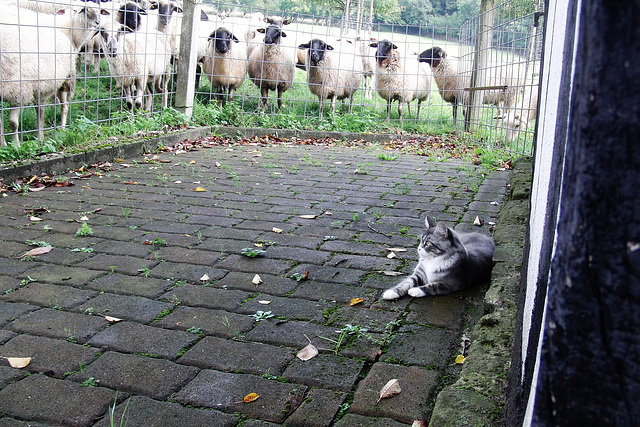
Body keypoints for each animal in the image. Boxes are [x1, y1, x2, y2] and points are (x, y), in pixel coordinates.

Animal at [0, 2, 109, 147]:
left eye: (100, 11)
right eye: (84, 10)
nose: (97, 22)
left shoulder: (19, 91)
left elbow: (13, 123)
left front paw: (16, 146)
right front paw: (5, 145)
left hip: (62, 80)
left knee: (62, 107)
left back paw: (59, 131)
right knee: (42, 109)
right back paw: (41, 136)